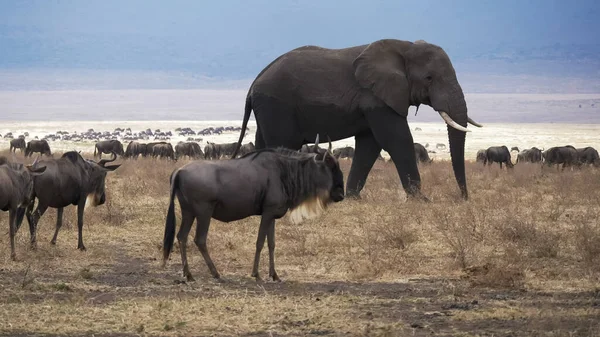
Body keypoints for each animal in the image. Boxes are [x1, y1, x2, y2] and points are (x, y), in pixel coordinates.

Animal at [232, 38, 480, 200]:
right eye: (429, 78)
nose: (463, 198)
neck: (404, 47)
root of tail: (254, 83)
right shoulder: (376, 97)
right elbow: (397, 139)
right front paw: (421, 201)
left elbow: (370, 144)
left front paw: (352, 197)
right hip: (277, 105)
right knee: (281, 144)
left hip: (268, 109)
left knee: (263, 142)